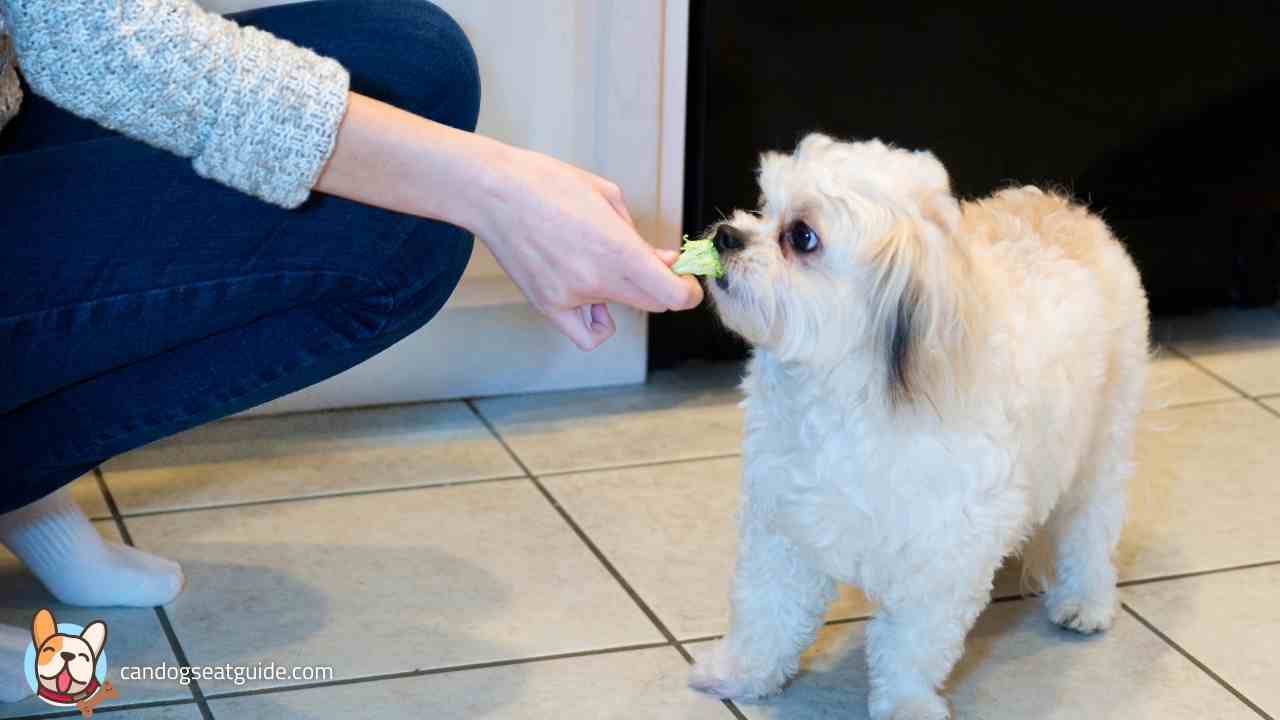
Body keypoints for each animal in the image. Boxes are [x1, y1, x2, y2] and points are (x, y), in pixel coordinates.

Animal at [691, 131, 1152, 712]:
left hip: (1102, 445)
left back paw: (1085, 602)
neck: (844, 398)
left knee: (1088, 532)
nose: (726, 235)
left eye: (801, 236)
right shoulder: (784, 527)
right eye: (763, 206)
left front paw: (906, 704)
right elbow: (764, 613)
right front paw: (739, 674)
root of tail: (1065, 207)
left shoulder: (941, 558)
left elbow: (910, 647)